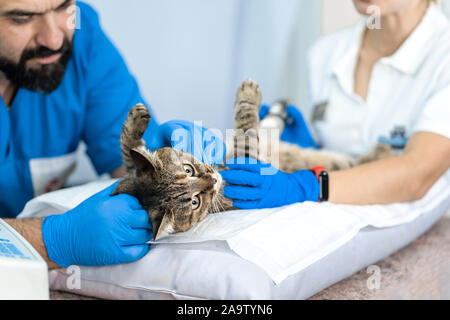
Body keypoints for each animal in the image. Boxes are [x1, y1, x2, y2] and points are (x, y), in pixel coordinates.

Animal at [112, 79, 394, 239]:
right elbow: (247, 125)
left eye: (188, 169)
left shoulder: (130, 172)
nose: (213, 179)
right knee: (353, 161)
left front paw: (135, 120)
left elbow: (128, 149)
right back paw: (383, 149)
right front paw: (249, 96)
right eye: (194, 202)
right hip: (339, 163)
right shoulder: (247, 157)